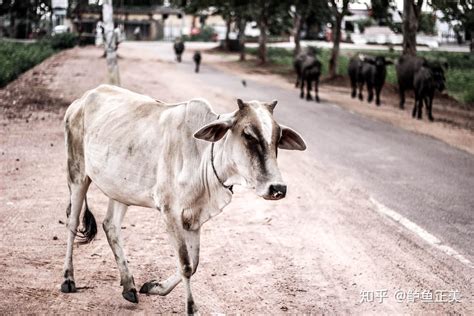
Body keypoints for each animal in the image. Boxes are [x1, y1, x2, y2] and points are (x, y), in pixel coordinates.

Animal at [61, 84, 306, 314]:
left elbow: (194, 264)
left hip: (120, 189)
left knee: (110, 226)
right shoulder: (170, 212)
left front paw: (155, 287)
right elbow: (186, 264)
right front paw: (190, 308)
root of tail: (82, 100)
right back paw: (68, 279)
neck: (203, 155)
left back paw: (129, 286)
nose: (277, 188)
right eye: (248, 135)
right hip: (77, 174)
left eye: (278, 137)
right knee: (72, 223)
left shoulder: (194, 217)